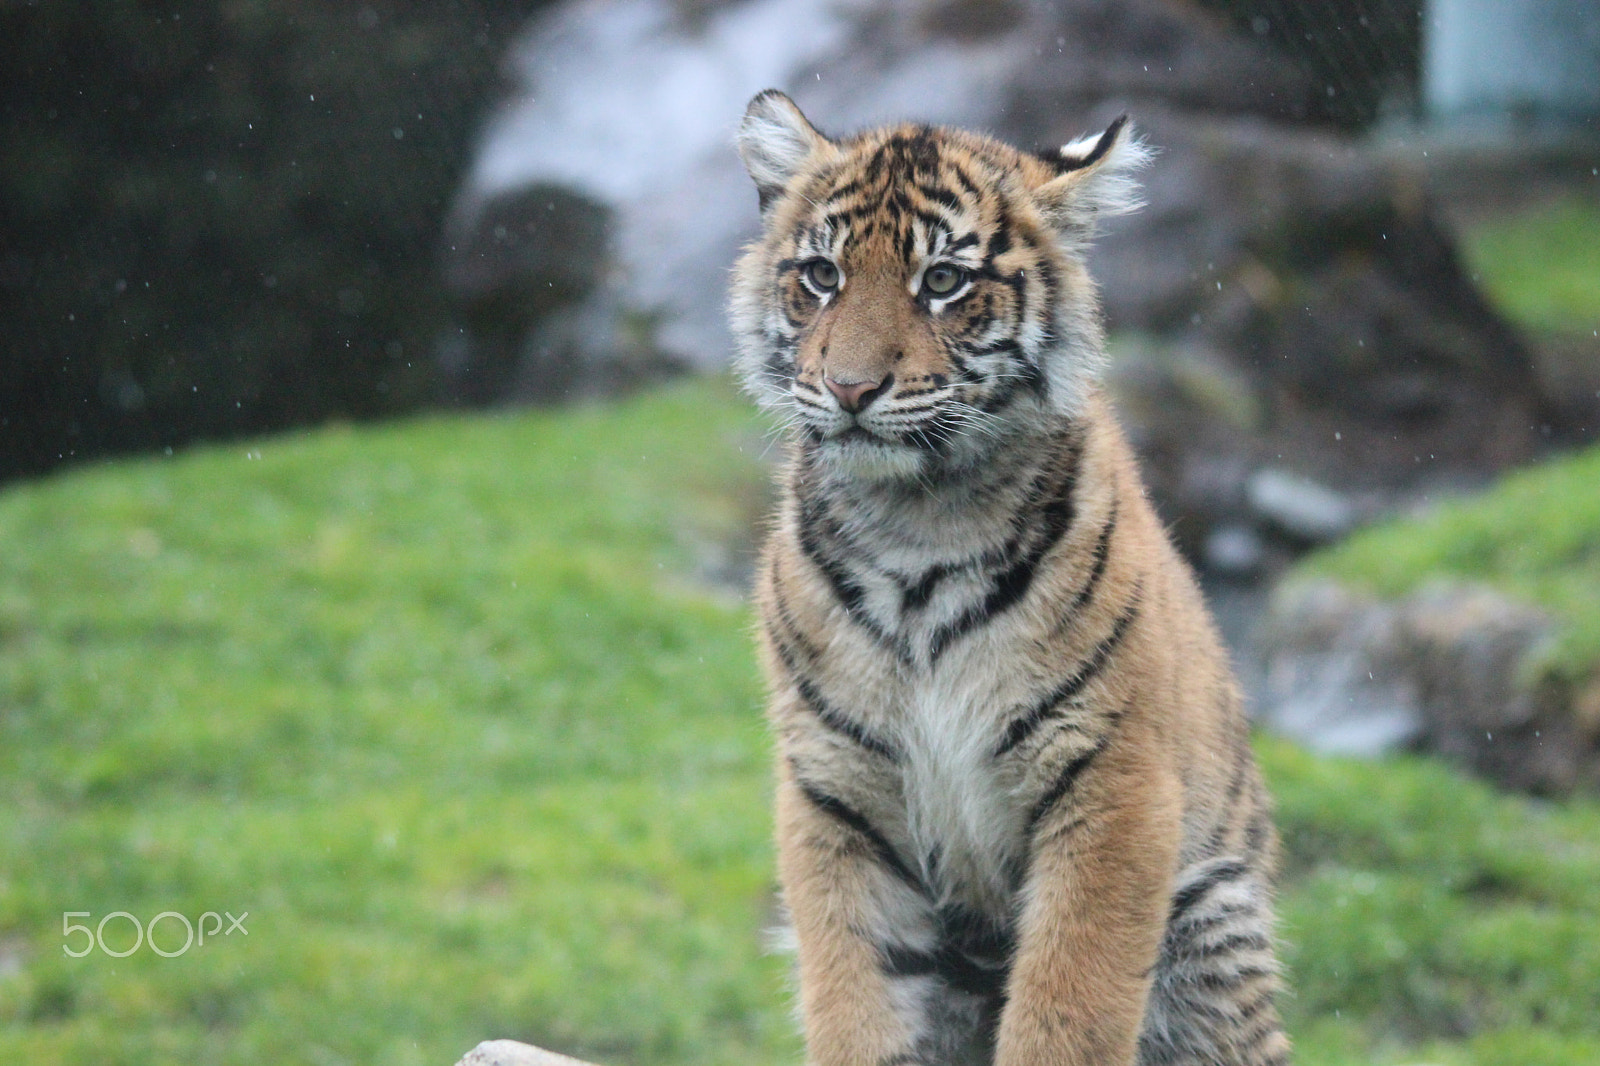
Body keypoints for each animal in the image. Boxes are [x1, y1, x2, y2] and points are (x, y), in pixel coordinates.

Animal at [727, 89, 1288, 1066]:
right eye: (823, 275)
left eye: (944, 282)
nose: (849, 388)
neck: (918, 524)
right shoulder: (836, 792)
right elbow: (857, 998)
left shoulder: (1112, 785)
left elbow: (1070, 1004)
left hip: (1215, 930)